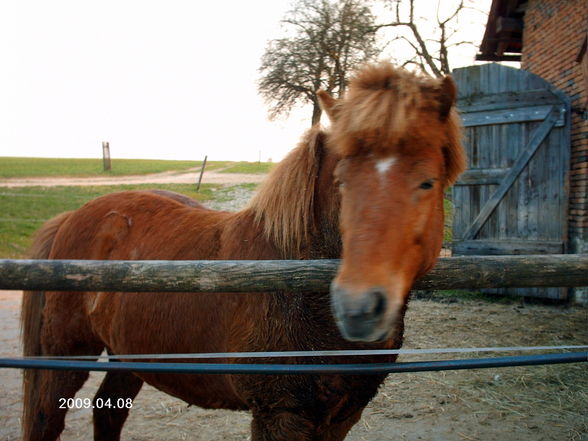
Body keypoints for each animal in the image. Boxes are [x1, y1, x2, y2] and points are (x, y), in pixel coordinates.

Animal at [20, 62, 466, 440]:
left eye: (427, 182)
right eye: (341, 182)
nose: (359, 308)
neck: (295, 285)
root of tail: (76, 215)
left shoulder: (342, 416)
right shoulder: (280, 416)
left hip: (132, 353)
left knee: (108, 410)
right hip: (66, 355)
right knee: (46, 418)